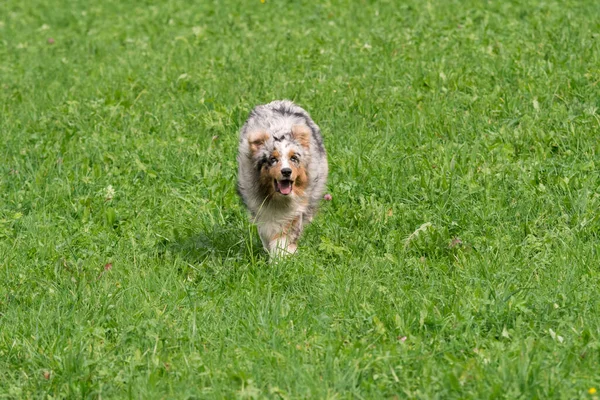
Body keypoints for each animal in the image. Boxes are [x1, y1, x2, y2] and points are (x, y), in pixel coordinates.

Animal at [237, 100, 328, 256]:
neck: (278, 200)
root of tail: (282, 101)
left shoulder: (294, 211)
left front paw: (281, 257)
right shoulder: (261, 210)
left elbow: (284, 236)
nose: (286, 171)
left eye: (293, 158)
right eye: (273, 159)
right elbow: (266, 233)